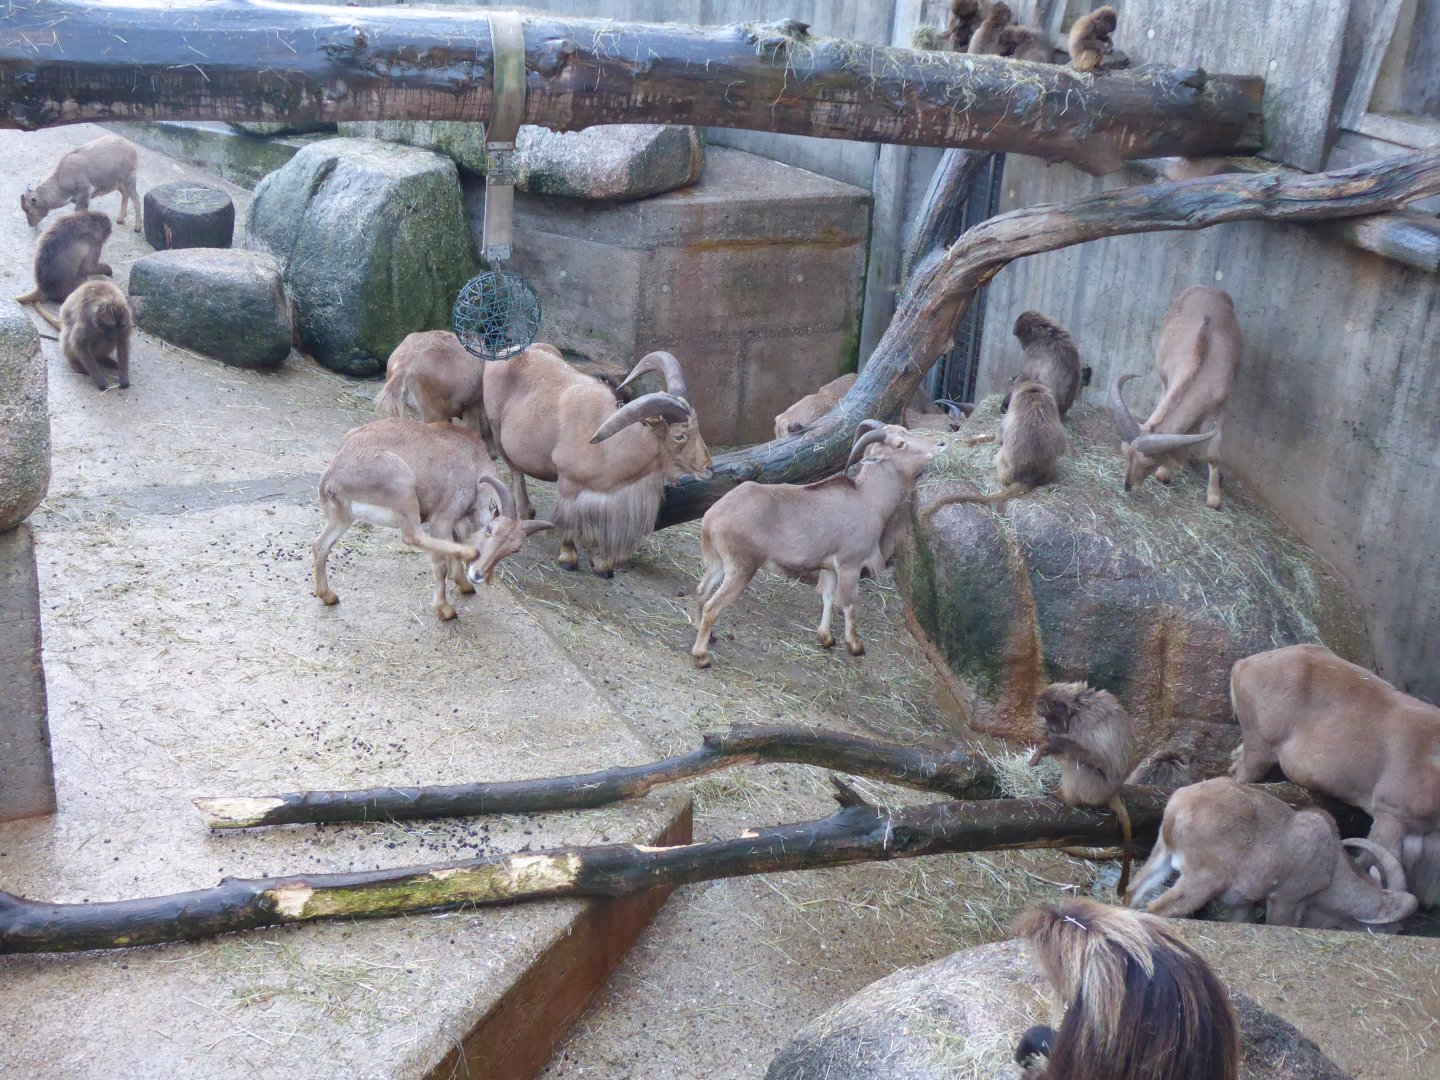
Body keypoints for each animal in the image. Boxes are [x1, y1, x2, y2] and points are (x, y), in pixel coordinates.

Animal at [311, 418, 554, 621]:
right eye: (489, 529)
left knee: (320, 544)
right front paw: (445, 609)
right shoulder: (442, 520)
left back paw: (328, 595)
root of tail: (332, 474)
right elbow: (441, 564)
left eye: (514, 549)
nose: (478, 574)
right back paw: (469, 553)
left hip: (343, 515)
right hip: (402, 483)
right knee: (412, 536)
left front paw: (465, 585)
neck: (473, 463)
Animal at [482, 347, 712, 576]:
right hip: (496, 428)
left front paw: (602, 564)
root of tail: (507, 352)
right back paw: (524, 513)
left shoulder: (602, 495)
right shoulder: (569, 484)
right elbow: (570, 521)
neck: (610, 446)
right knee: (515, 471)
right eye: (680, 436)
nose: (708, 467)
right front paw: (568, 557)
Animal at [690, 422, 947, 668]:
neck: (868, 499)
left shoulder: (830, 567)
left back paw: (703, 632)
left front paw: (826, 638)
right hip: (742, 567)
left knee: (702, 591)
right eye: (900, 443)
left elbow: (828, 598)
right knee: (712, 606)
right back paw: (702, 656)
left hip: (720, 562)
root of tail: (712, 516)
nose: (941, 444)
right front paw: (855, 646)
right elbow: (849, 604)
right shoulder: (849, 564)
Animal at [1111, 286, 1241, 510]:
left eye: (1149, 463)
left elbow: (1213, 456)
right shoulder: (1168, 383)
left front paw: (1214, 499)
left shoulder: (1219, 409)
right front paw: (1165, 473)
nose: (1128, 486)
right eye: (1125, 452)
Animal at [1125, 777, 1418, 931]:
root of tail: (1180, 806)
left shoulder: (1241, 903)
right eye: (1393, 928)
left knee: (1132, 892)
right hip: (1201, 880)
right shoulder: (1284, 899)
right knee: (1159, 908)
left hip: (1162, 856)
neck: (1332, 868)